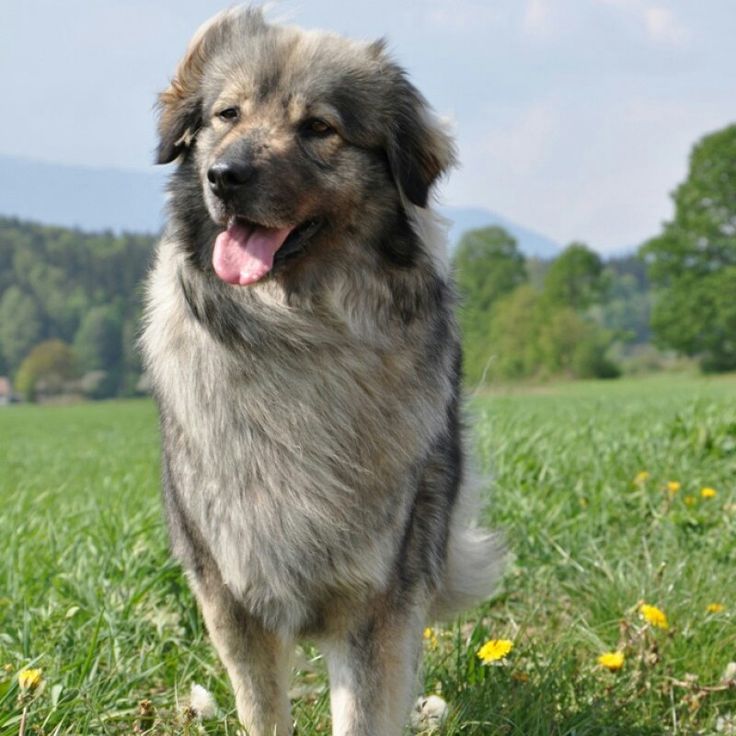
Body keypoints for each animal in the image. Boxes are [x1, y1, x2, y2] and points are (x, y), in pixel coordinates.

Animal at [142, 7, 504, 736]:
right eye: (226, 114)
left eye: (318, 128)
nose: (224, 175)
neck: (294, 332)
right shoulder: (231, 598)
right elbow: (262, 709)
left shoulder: (377, 599)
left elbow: (366, 707)